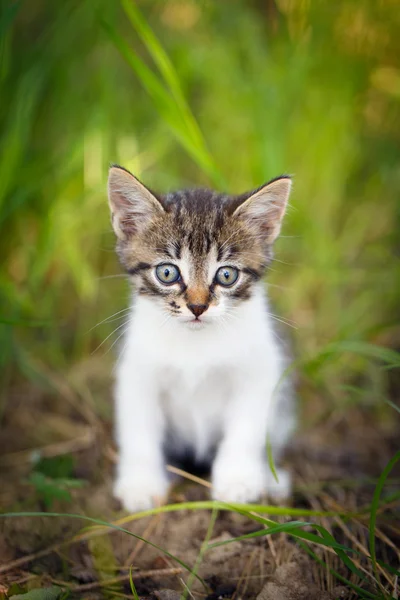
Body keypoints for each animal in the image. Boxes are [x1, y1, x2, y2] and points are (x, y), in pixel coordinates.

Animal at [106, 164, 294, 510]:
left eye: (226, 275)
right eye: (167, 273)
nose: (197, 306)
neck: (195, 343)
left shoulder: (260, 370)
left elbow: (246, 430)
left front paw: (238, 481)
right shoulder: (138, 374)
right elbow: (139, 431)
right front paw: (141, 484)